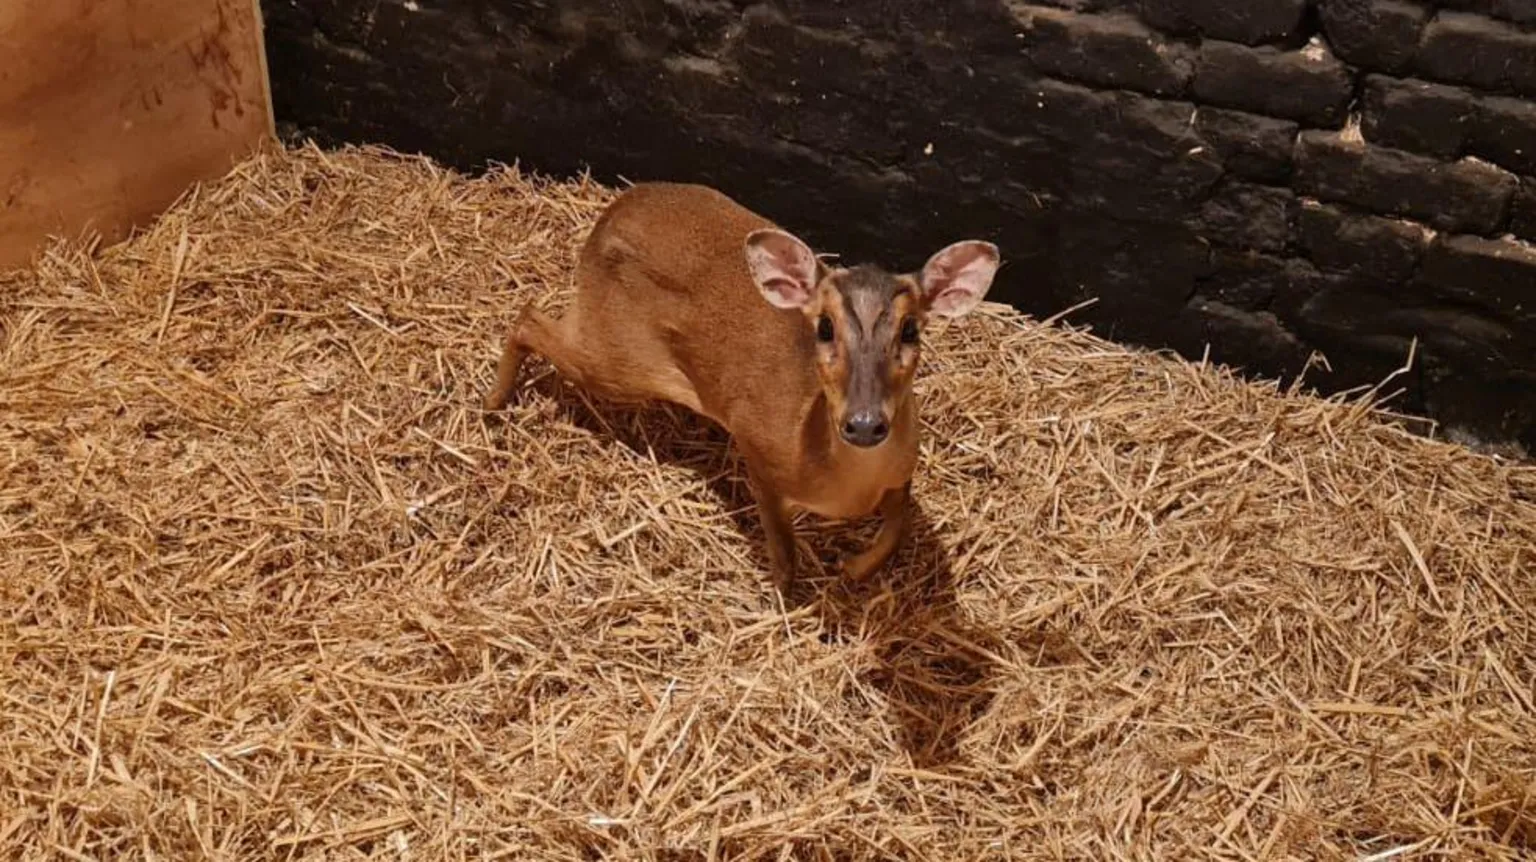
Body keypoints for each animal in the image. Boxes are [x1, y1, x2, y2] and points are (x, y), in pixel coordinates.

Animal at [482, 182, 1001, 598]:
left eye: (911, 329)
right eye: (825, 326)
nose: (865, 423)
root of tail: (608, 216)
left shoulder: (903, 468)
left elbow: (899, 526)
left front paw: (853, 569)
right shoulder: (756, 448)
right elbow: (784, 548)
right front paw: (786, 597)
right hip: (614, 360)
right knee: (528, 317)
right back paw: (492, 403)